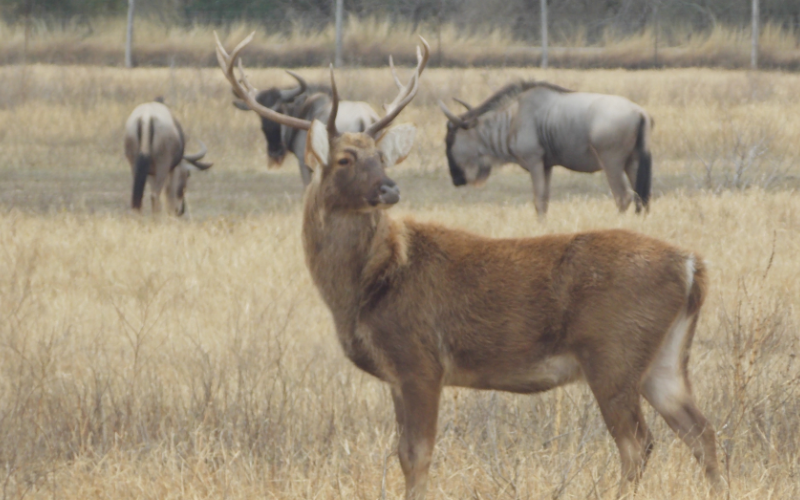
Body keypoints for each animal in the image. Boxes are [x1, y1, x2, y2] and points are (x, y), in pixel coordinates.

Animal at [440, 82, 652, 215]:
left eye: (449, 139)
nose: (456, 179)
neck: (513, 119)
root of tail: (640, 113)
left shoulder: (534, 161)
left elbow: (538, 201)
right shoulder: (547, 166)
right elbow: (545, 201)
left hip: (611, 163)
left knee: (623, 197)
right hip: (632, 162)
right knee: (641, 197)